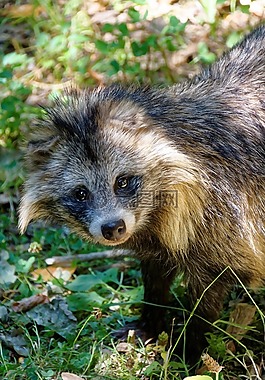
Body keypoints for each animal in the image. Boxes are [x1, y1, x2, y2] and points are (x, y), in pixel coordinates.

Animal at [18, 26, 264, 360]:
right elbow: (155, 270)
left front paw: (191, 344)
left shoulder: (226, 216)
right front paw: (151, 318)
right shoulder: (155, 233)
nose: (112, 228)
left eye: (122, 182)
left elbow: (210, 291)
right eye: (81, 193)